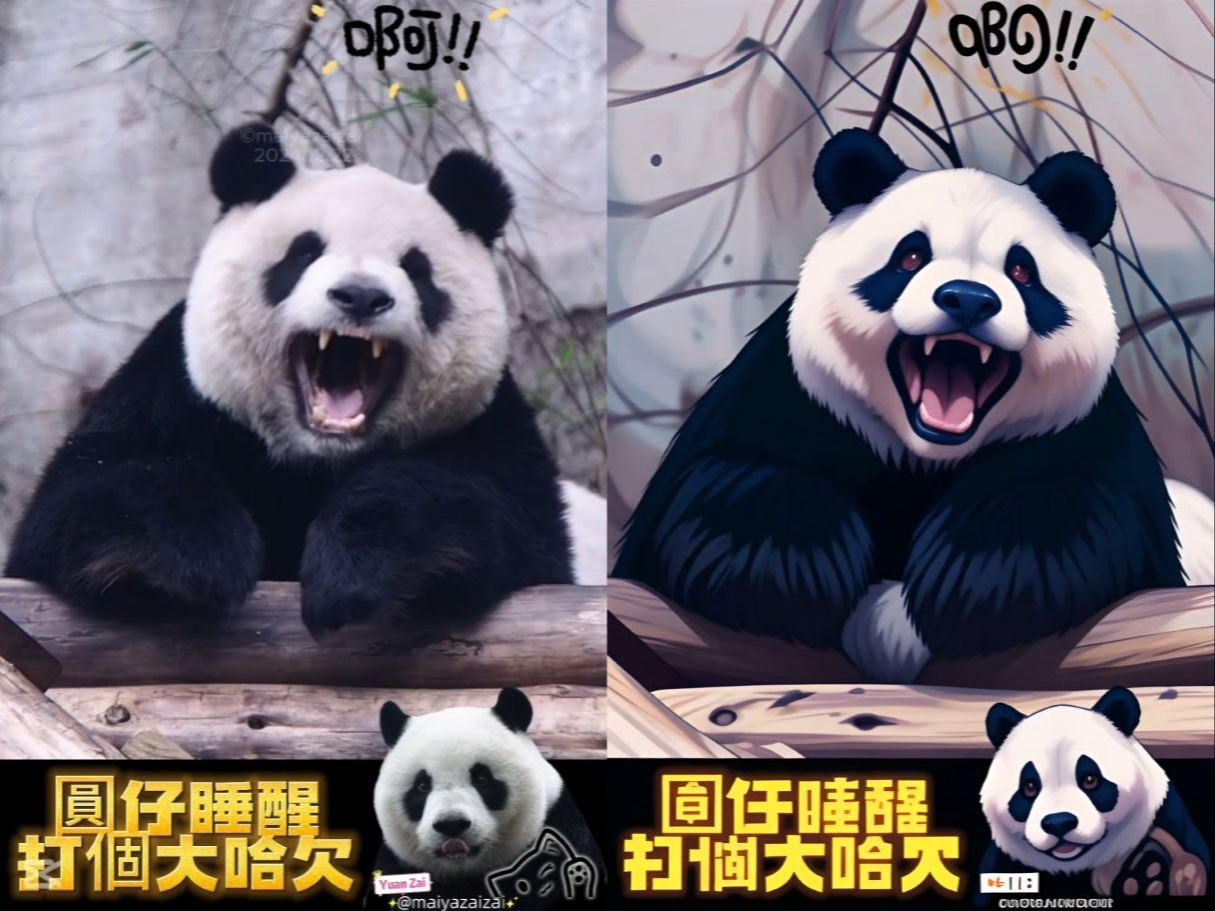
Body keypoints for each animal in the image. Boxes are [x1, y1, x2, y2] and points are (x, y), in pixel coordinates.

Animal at [6, 122, 603, 632]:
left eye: (416, 268)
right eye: (303, 253)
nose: (360, 297)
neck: (317, 460)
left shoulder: (492, 425)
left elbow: (511, 526)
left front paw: (351, 571)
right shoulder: (175, 393)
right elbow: (80, 497)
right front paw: (206, 555)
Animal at [370, 688, 602, 904]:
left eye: (482, 779)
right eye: (422, 786)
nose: (451, 824)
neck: (464, 873)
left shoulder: (563, 826)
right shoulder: (396, 864)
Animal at [614, 127, 1212, 681]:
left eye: (1022, 271)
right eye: (911, 255)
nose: (967, 299)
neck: (924, 457)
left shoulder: (1092, 435)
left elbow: (1076, 508)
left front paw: (971, 575)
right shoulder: (777, 394)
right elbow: (717, 491)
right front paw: (796, 562)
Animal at [979, 687, 1209, 899]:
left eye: (1090, 780)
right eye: (1029, 787)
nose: (1059, 823)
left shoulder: (1170, 821)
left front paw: (1147, 876)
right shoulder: (1005, 862)